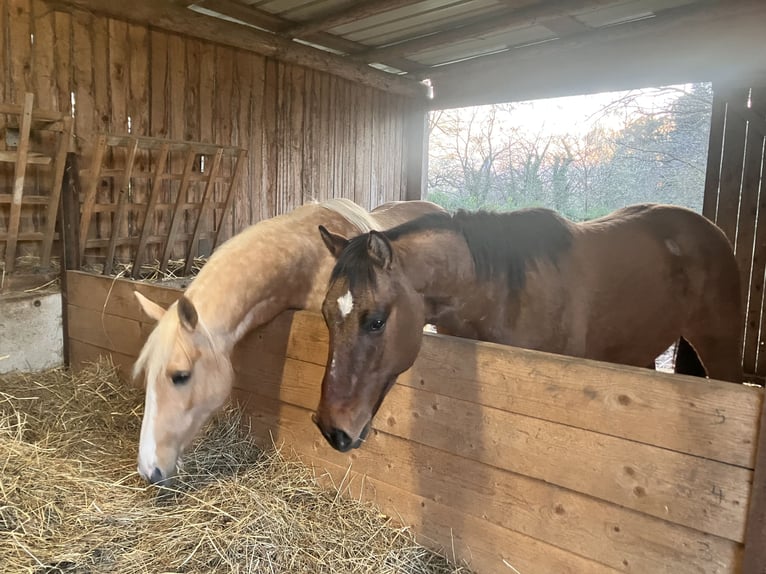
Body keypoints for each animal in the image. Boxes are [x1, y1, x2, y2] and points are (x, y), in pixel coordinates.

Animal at [314, 203, 744, 452]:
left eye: (376, 321)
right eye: (325, 315)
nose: (332, 429)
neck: (499, 293)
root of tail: (710, 228)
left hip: (720, 346)